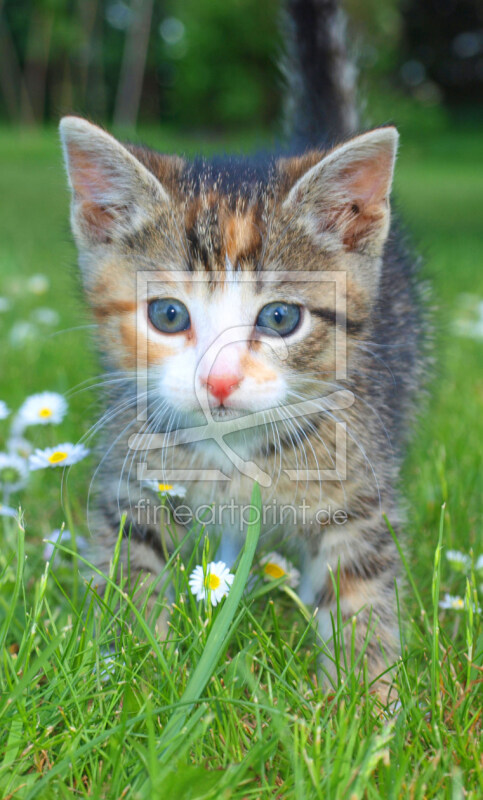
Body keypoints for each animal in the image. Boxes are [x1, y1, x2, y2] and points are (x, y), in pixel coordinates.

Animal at [58, 0, 426, 696]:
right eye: (168, 314)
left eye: (280, 318)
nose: (220, 380)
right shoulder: (133, 477)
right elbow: (128, 570)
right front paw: (129, 674)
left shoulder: (359, 486)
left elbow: (361, 588)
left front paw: (366, 701)